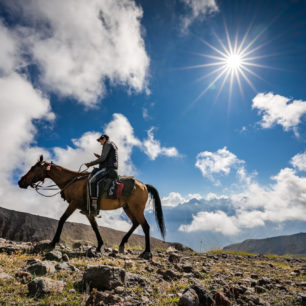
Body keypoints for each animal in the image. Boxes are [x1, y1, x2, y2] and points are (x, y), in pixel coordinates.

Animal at [17, 155, 165, 258]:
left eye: (33, 168)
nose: (20, 181)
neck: (72, 181)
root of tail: (144, 185)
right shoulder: (88, 210)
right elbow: (95, 227)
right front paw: (99, 246)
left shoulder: (74, 204)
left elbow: (62, 219)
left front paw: (53, 243)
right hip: (127, 207)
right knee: (135, 223)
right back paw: (122, 245)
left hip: (136, 208)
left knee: (145, 226)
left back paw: (147, 253)